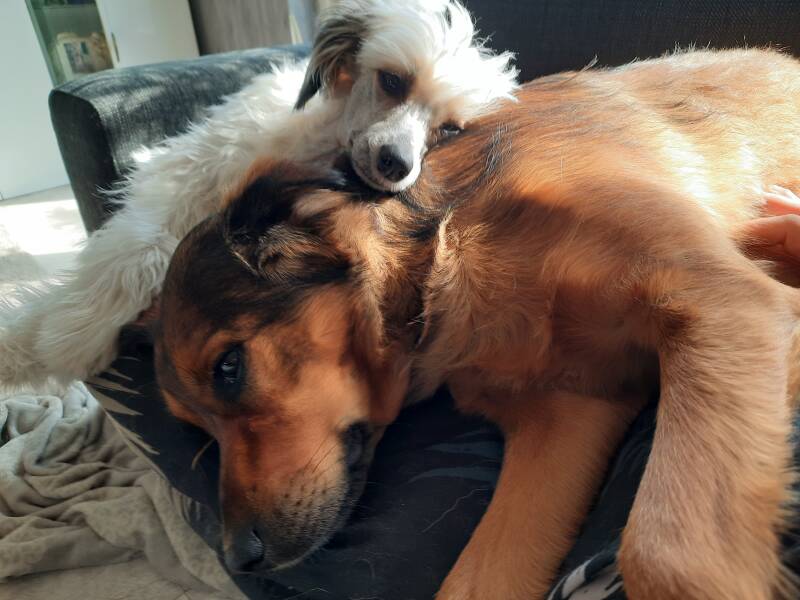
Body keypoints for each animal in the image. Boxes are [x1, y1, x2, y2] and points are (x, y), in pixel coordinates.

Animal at [0, 0, 517, 391]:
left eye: (448, 129)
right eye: (392, 80)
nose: (397, 164)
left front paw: (53, 343)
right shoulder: (185, 176)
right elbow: (136, 255)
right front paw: (60, 339)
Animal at [150, 47, 800, 599]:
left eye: (229, 368)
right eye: (199, 428)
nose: (238, 559)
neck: (442, 258)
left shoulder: (720, 299)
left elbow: (665, 554)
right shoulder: (571, 413)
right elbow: (474, 582)